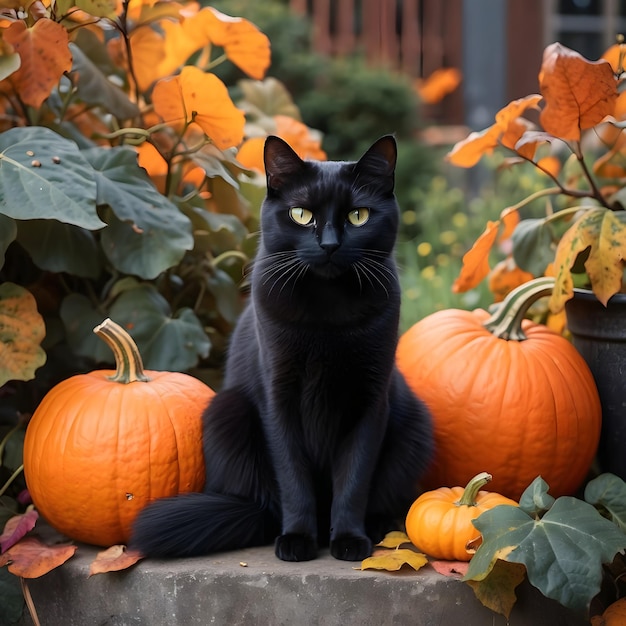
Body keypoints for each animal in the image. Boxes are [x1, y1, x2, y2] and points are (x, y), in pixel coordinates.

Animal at [130, 134, 434, 560]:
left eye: (358, 216)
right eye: (301, 215)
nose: (329, 245)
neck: (327, 311)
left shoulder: (370, 401)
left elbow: (355, 478)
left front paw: (349, 540)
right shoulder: (277, 396)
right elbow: (293, 477)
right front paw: (297, 539)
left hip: (414, 421)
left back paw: (376, 527)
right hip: (227, 411)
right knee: (268, 506)